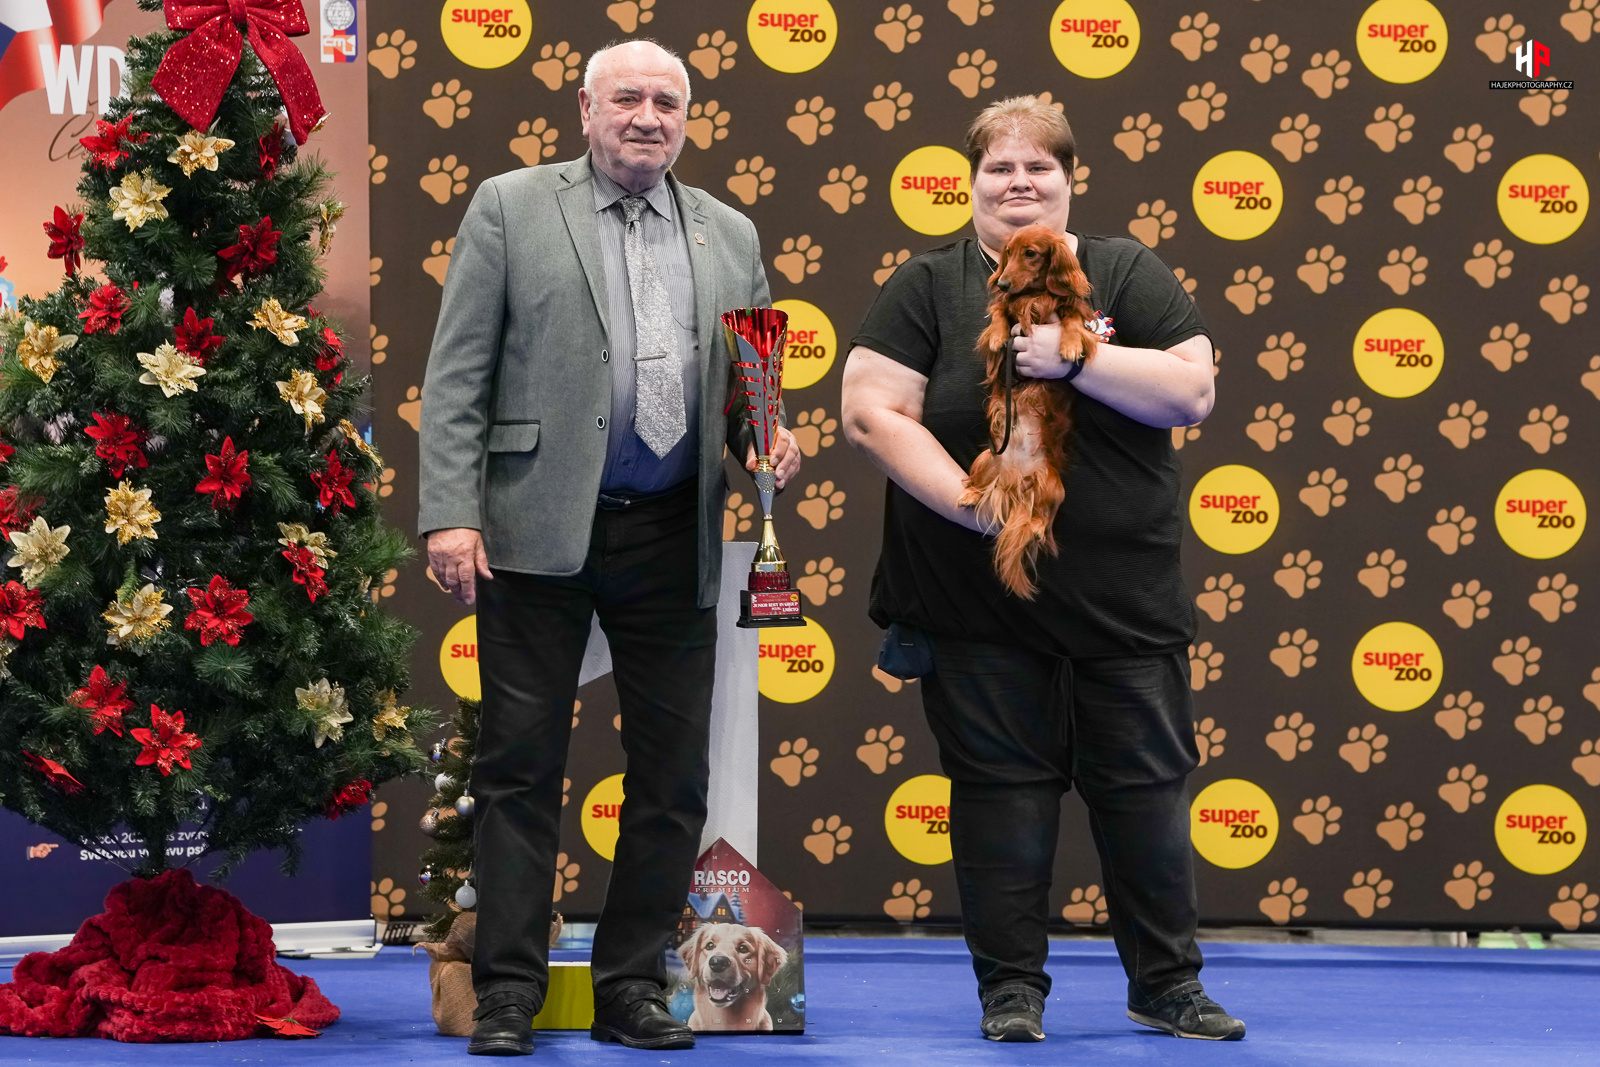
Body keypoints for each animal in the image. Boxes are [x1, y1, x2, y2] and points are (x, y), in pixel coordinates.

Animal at [957, 224, 1099, 599]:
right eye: (1008, 252)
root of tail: (1014, 482)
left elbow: (1073, 322)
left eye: (1031, 253)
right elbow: (1001, 314)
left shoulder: (1072, 310)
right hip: (984, 460)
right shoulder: (1007, 309)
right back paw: (969, 493)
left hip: (1053, 487)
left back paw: (1033, 526)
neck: (1033, 294)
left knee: (1042, 519)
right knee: (977, 483)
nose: (1004, 282)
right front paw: (996, 335)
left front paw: (1069, 344)